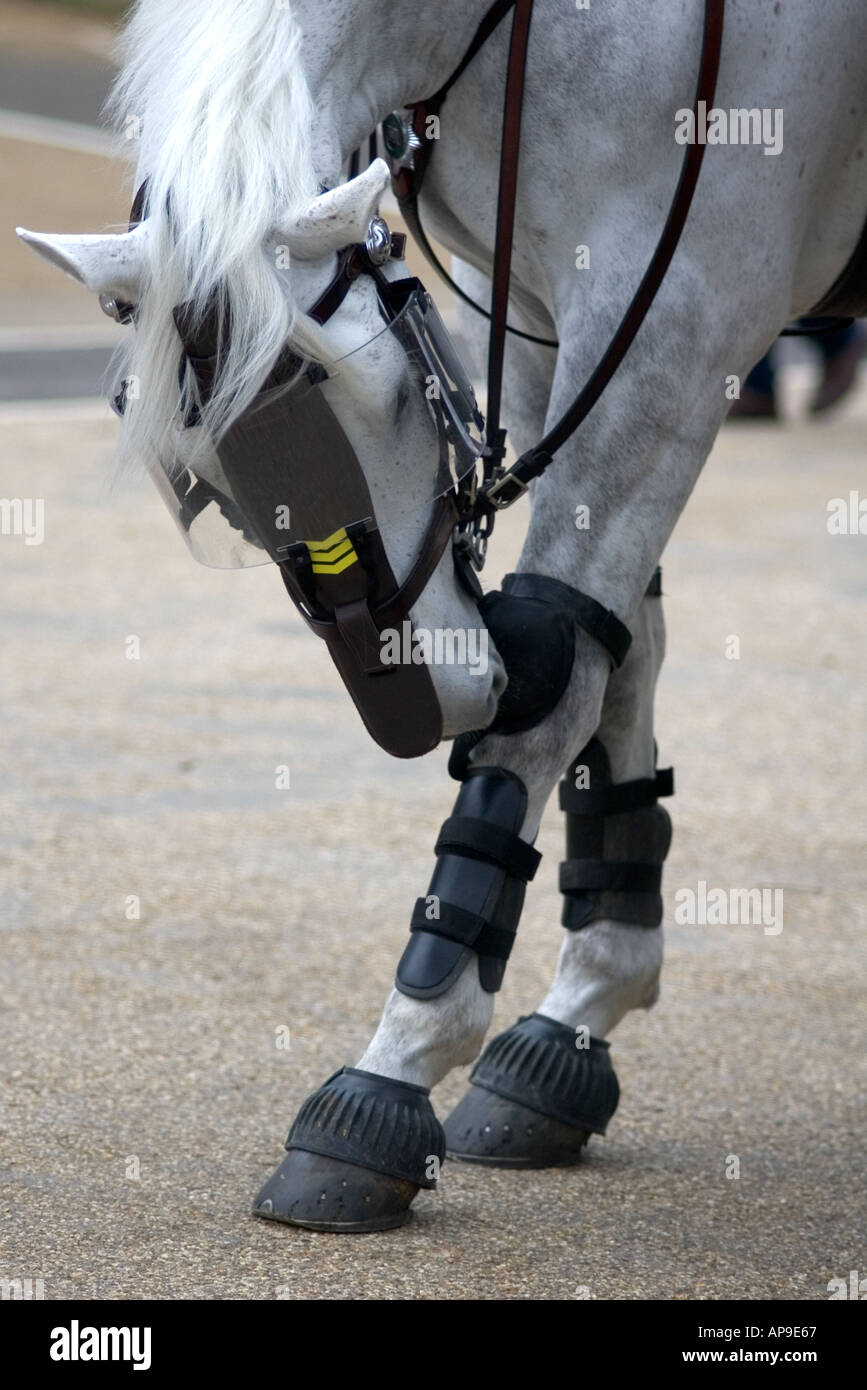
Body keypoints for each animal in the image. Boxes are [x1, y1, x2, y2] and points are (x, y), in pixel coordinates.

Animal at [18, 0, 867, 1234]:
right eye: (219, 486)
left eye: (368, 396)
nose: (425, 707)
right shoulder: (538, 306)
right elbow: (615, 650)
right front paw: (584, 1005)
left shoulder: (677, 325)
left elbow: (558, 679)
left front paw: (397, 1067)